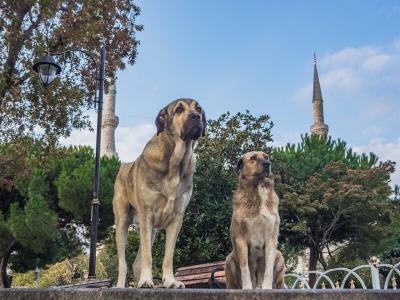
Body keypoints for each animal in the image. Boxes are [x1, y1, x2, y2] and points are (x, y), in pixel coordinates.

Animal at [112, 98, 206, 288]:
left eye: (199, 108)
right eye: (178, 109)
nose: (196, 116)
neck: (175, 162)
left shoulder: (176, 219)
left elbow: (168, 256)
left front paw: (170, 281)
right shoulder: (147, 215)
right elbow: (148, 256)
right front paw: (146, 280)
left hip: (151, 230)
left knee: (136, 262)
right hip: (122, 222)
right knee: (123, 262)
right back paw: (121, 285)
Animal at [225, 151, 284, 290]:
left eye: (266, 157)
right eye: (253, 158)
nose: (267, 164)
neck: (259, 187)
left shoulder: (271, 238)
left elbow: (268, 267)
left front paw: (266, 287)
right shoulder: (241, 239)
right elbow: (245, 267)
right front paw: (247, 287)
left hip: (280, 257)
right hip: (229, 260)